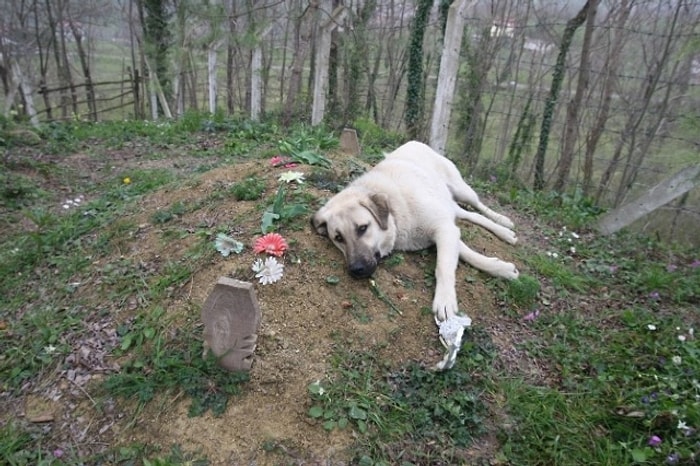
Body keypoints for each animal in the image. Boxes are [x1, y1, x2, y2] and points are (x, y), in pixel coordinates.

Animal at [312, 140, 520, 326]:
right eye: (338, 238)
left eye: (362, 228)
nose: (356, 270)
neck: (395, 211)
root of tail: (415, 142)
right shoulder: (445, 228)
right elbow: (466, 253)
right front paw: (500, 267)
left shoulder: (443, 228)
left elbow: (444, 266)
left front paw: (445, 300)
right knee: (469, 214)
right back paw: (505, 232)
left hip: (462, 190)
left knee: (479, 206)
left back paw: (503, 223)